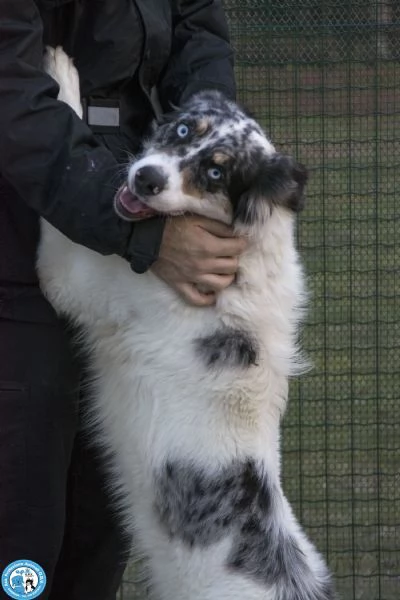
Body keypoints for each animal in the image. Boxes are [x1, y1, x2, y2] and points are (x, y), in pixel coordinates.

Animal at [38, 48, 338, 600]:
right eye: (182, 130)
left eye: (216, 174)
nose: (146, 178)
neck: (239, 248)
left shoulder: (70, 279)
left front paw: (63, 76)